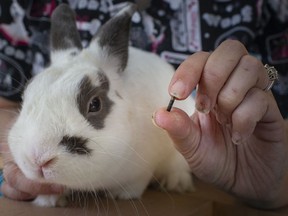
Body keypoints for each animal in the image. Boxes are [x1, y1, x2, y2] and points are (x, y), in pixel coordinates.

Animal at [7, 2, 196, 207]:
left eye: (95, 104)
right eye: (25, 96)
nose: (38, 159)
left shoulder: (143, 168)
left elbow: (136, 183)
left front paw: (121, 195)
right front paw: (48, 200)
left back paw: (176, 183)